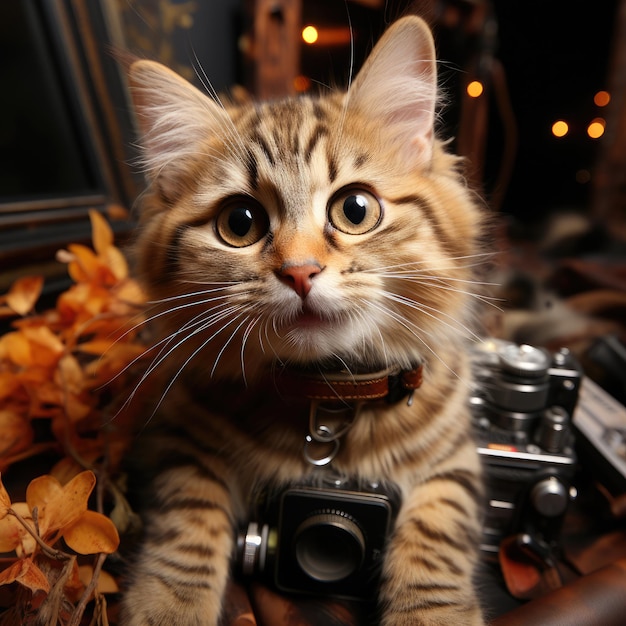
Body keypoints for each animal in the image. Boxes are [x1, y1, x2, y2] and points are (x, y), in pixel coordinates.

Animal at [119, 13, 486, 624]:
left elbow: (436, 538)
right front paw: (168, 606)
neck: (327, 395)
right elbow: (187, 524)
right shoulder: (177, 437)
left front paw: (433, 614)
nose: (299, 272)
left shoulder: (456, 459)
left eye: (355, 209)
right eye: (239, 223)